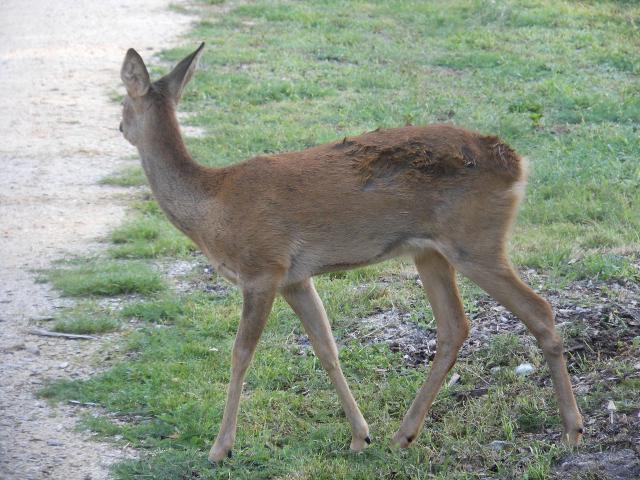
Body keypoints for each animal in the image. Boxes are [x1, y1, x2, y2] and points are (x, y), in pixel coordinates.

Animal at [117, 43, 584, 464]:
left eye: (122, 101)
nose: (119, 127)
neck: (211, 204)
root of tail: (517, 164)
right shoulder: (295, 277)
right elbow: (326, 347)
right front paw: (361, 436)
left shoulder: (262, 269)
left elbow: (241, 354)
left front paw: (220, 448)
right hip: (430, 251)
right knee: (455, 326)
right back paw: (403, 435)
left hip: (476, 242)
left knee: (538, 309)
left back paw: (572, 430)